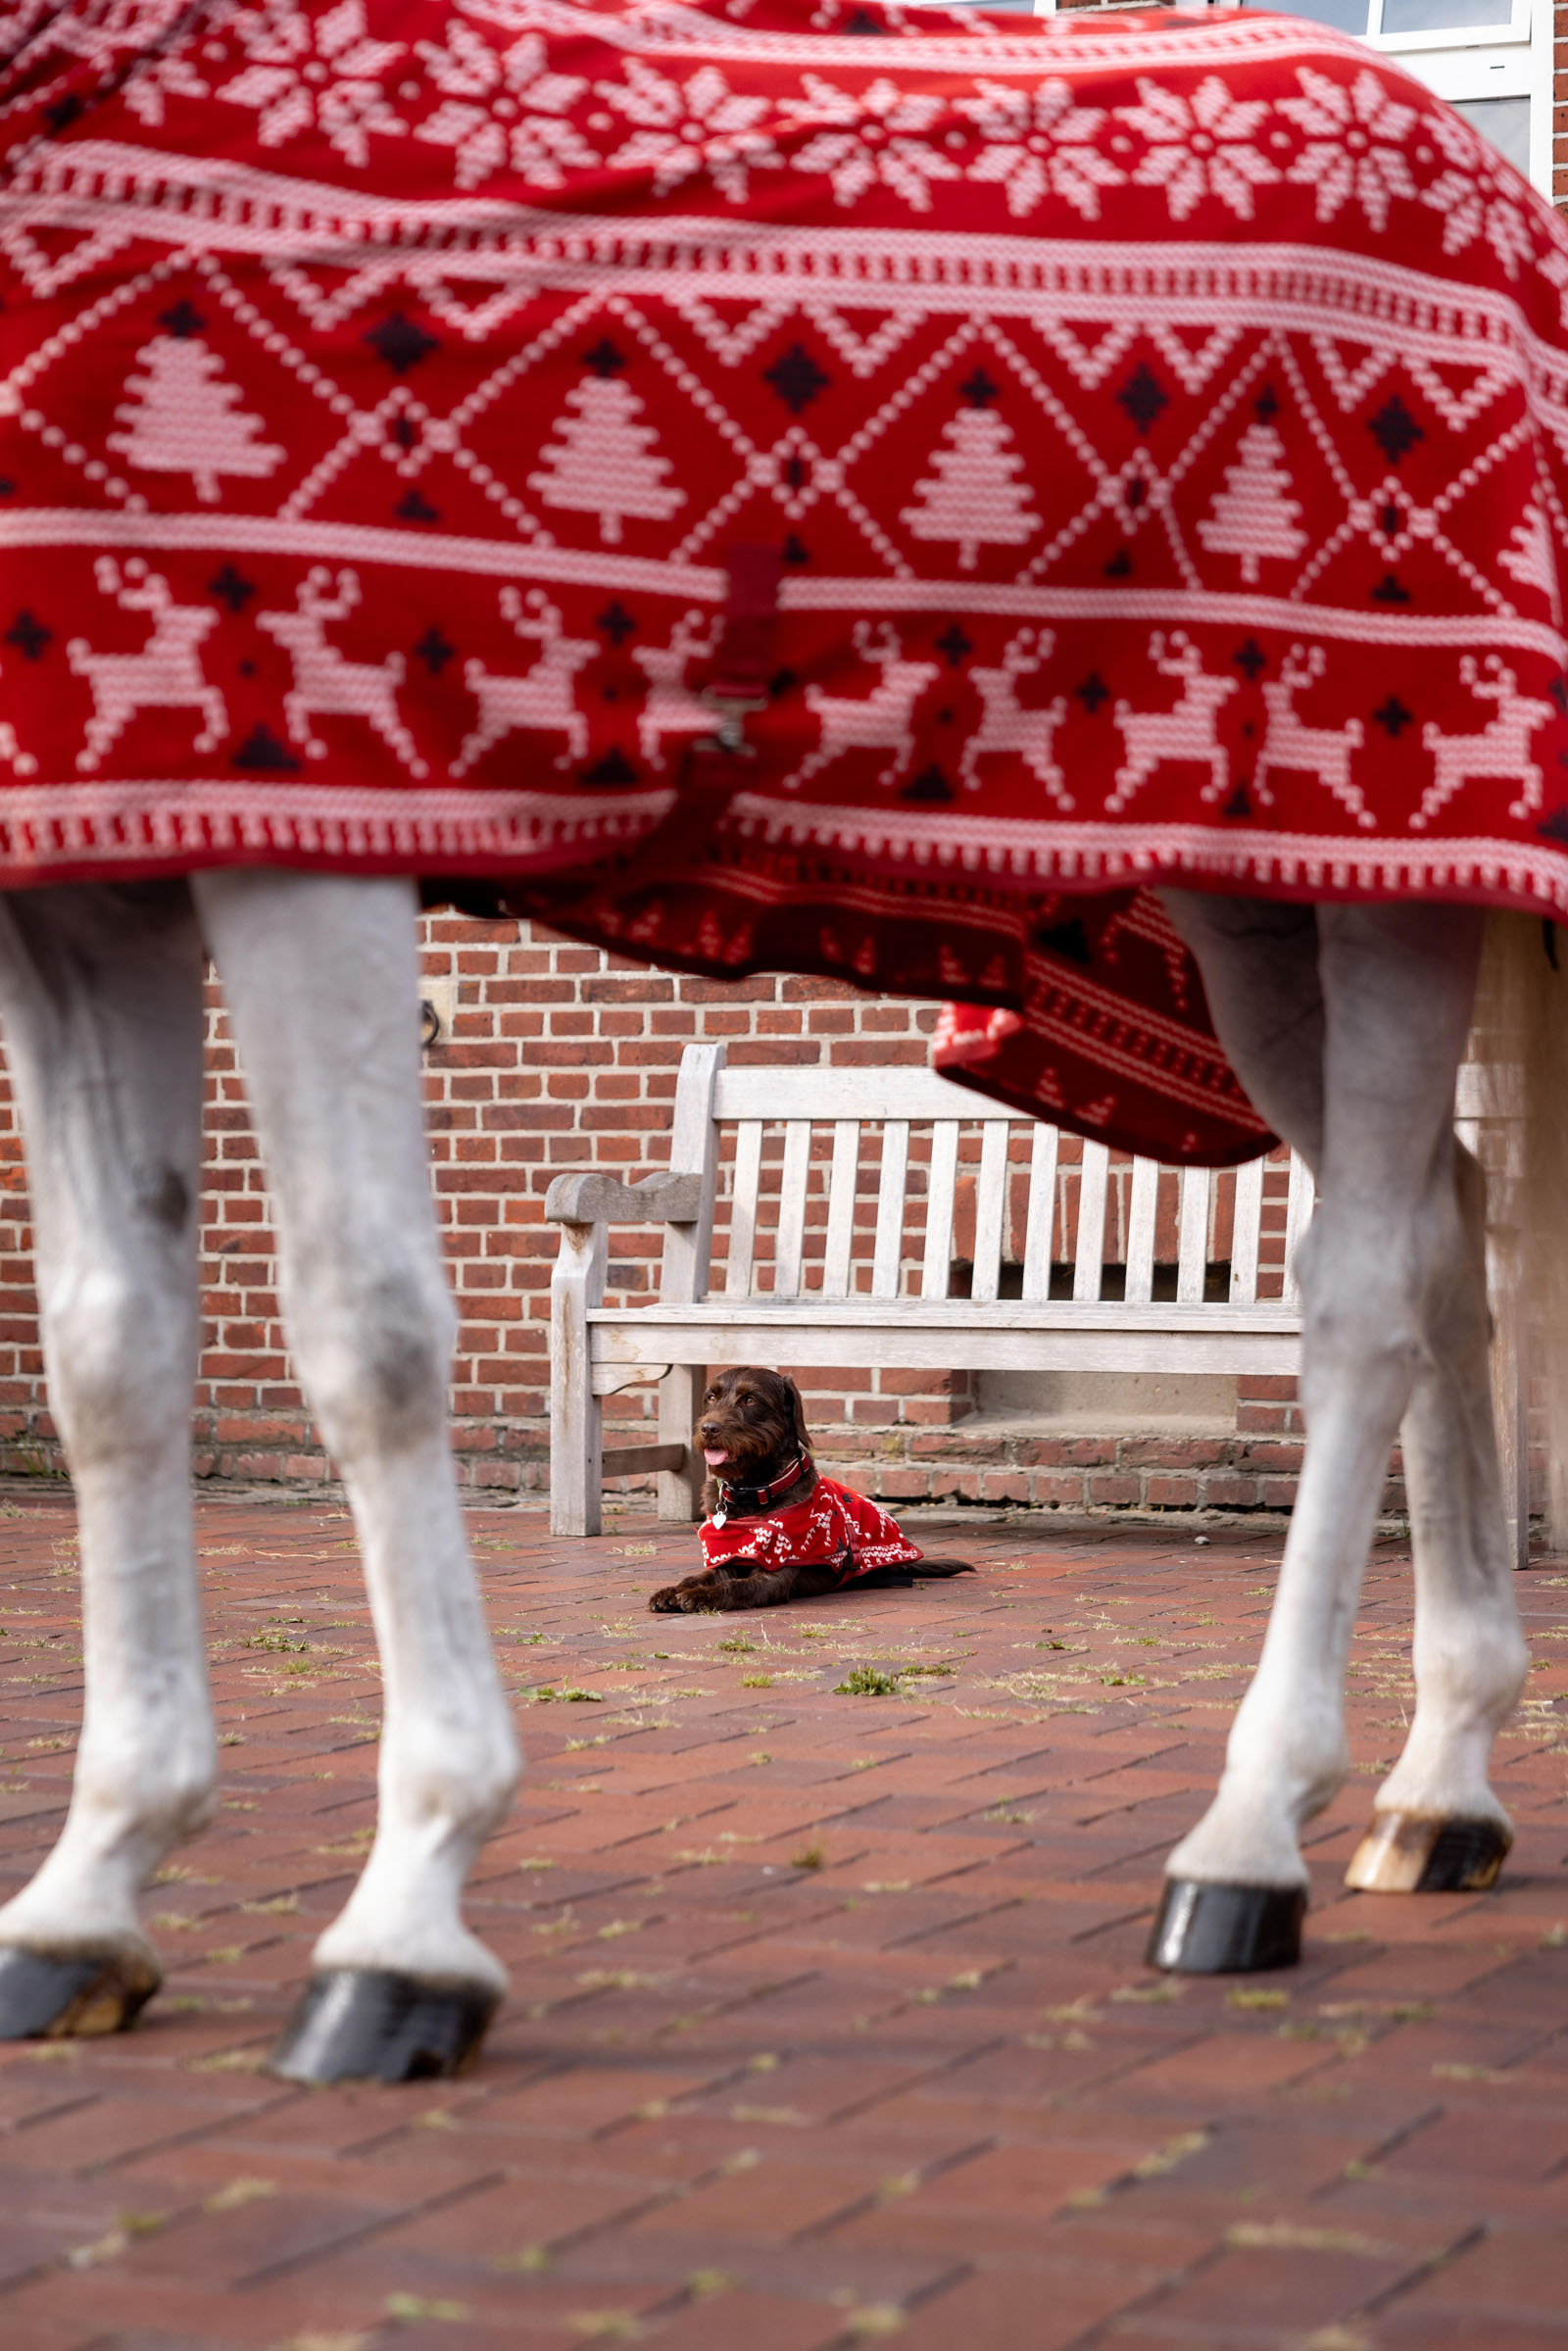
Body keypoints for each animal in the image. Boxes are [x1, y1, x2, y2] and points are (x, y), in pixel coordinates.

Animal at [5, 0, 1568, 2076]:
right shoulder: (85, 864)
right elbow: (111, 1358)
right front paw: (89, 1893)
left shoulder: (315, 798)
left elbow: (370, 1331)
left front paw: (405, 1920)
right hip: (1248, 898)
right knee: (1449, 1237)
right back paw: (1437, 1789)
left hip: (1371, 867)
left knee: (1369, 1289)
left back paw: (1248, 1841)